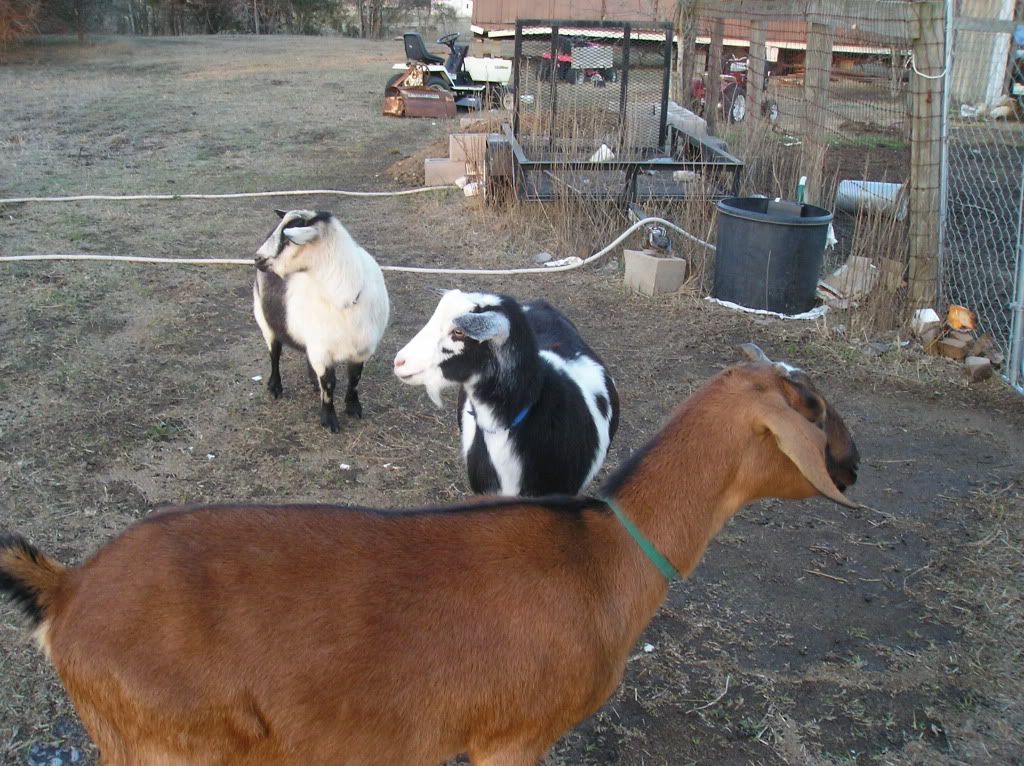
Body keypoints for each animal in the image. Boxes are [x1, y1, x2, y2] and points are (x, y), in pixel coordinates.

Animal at [0, 344, 859, 766]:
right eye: (813, 407)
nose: (854, 464)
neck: (603, 554)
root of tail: (68, 588)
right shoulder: (512, 738)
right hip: (164, 749)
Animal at [253, 209, 389, 432]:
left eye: (288, 239)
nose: (257, 258)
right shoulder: (322, 351)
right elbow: (329, 383)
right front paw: (329, 419)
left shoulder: (362, 348)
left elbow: (355, 377)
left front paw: (353, 408)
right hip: (264, 319)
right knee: (275, 353)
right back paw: (275, 387)